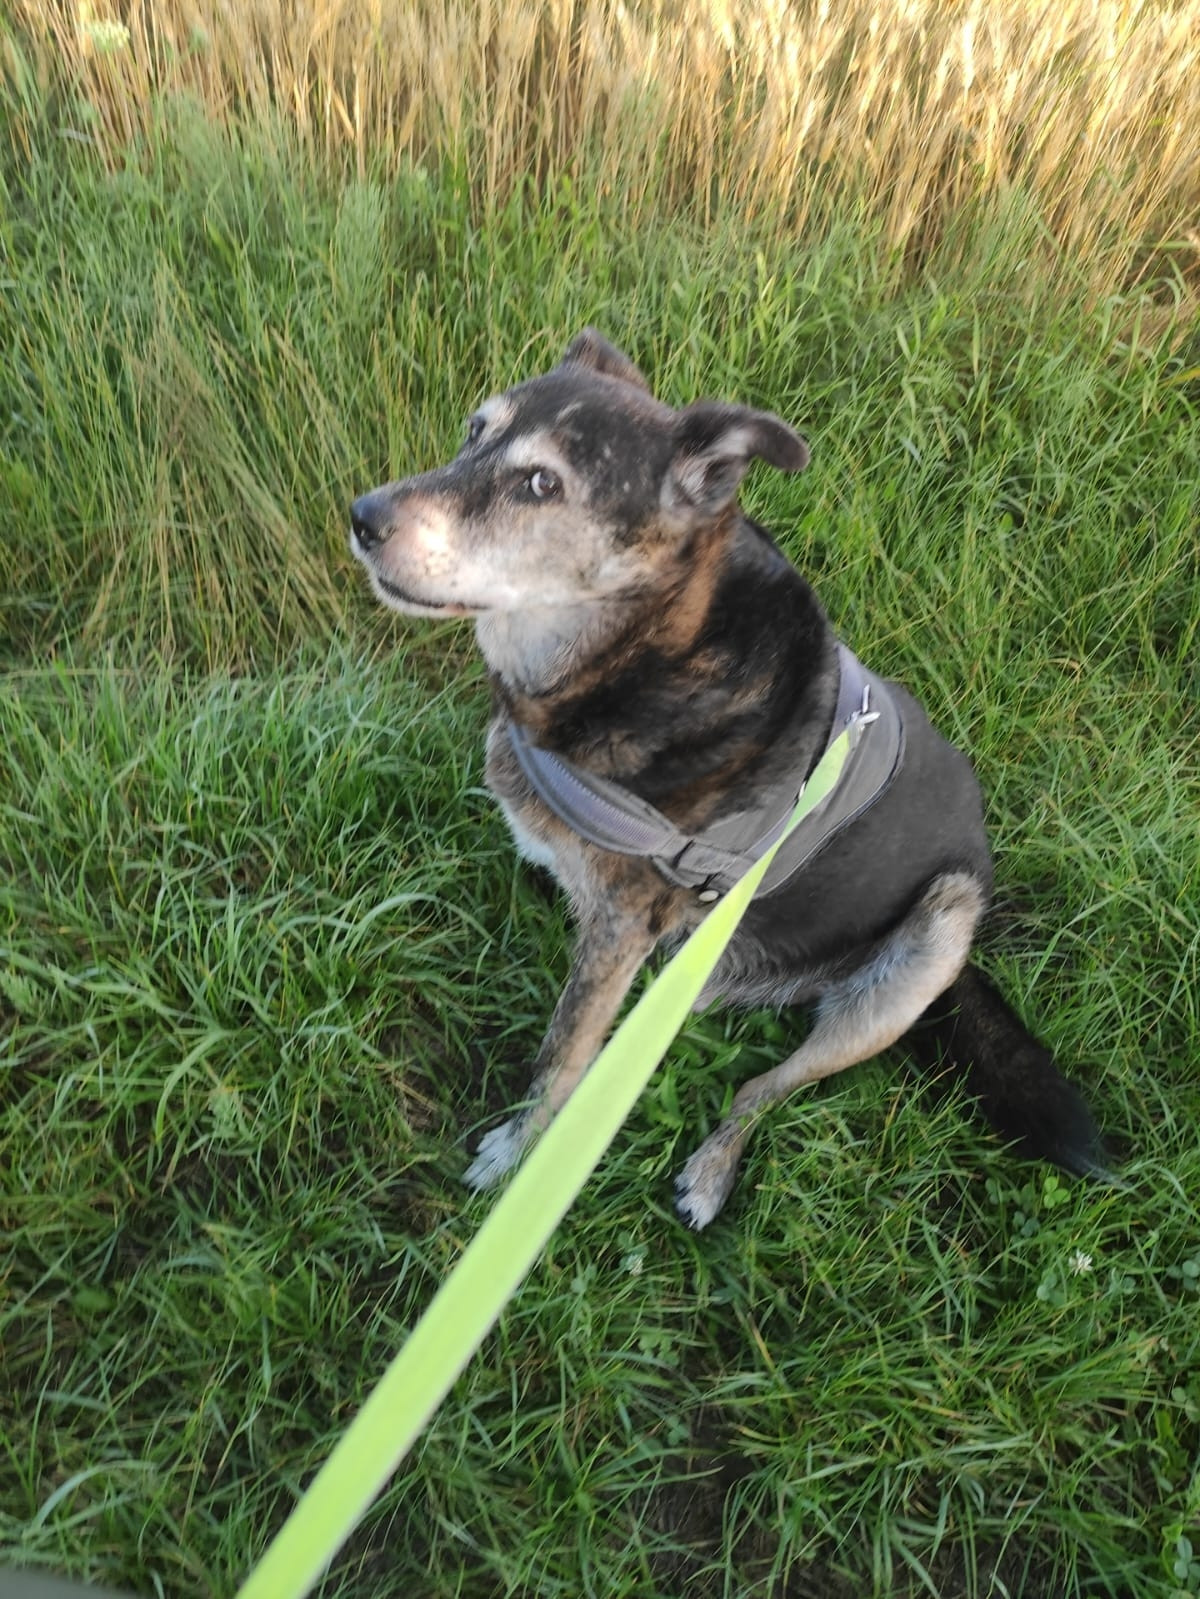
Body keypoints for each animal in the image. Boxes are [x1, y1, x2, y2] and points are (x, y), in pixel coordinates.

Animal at [345, 324, 1107, 1221]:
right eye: (474, 431)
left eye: (540, 483)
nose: (362, 517)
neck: (641, 655)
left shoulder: (622, 929)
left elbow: (565, 1057)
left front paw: (518, 1159)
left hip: (933, 934)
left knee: (763, 1088)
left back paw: (711, 1173)